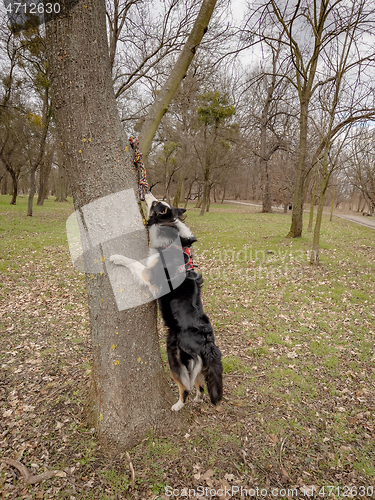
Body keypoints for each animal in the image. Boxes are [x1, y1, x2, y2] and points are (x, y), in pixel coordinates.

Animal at [110, 191, 225, 410]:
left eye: (155, 202)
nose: (146, 191)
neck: (171, 233)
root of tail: (207, 342)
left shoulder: (149, 275)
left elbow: (133, 262)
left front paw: (116, 257)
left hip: (174, 354)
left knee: (186, 385)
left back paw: (178, 405)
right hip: (194, 364)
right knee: (200, 384)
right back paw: (197, 399)